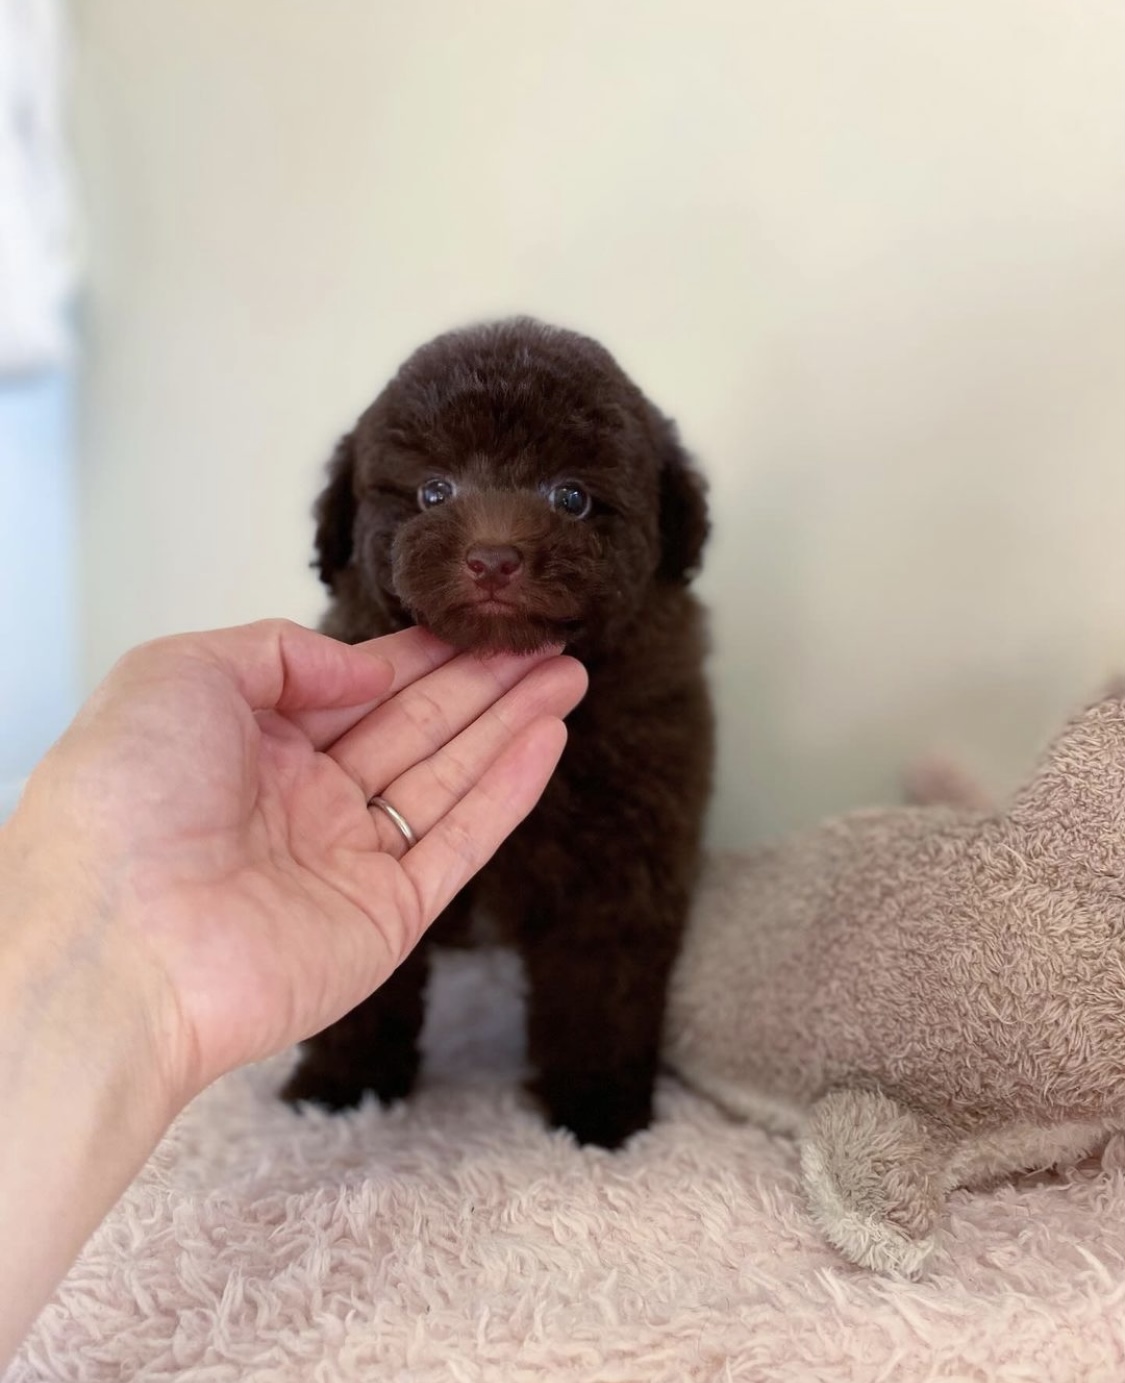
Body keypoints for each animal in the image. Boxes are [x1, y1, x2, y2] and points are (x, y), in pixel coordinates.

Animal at [282, 317, 714, 1148]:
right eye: (432, 491)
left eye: (572, 496)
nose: (491, 558)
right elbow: (365, 986)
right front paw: (342, 1088)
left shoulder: (627, 850)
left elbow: (602, 981)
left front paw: (597, 1113)